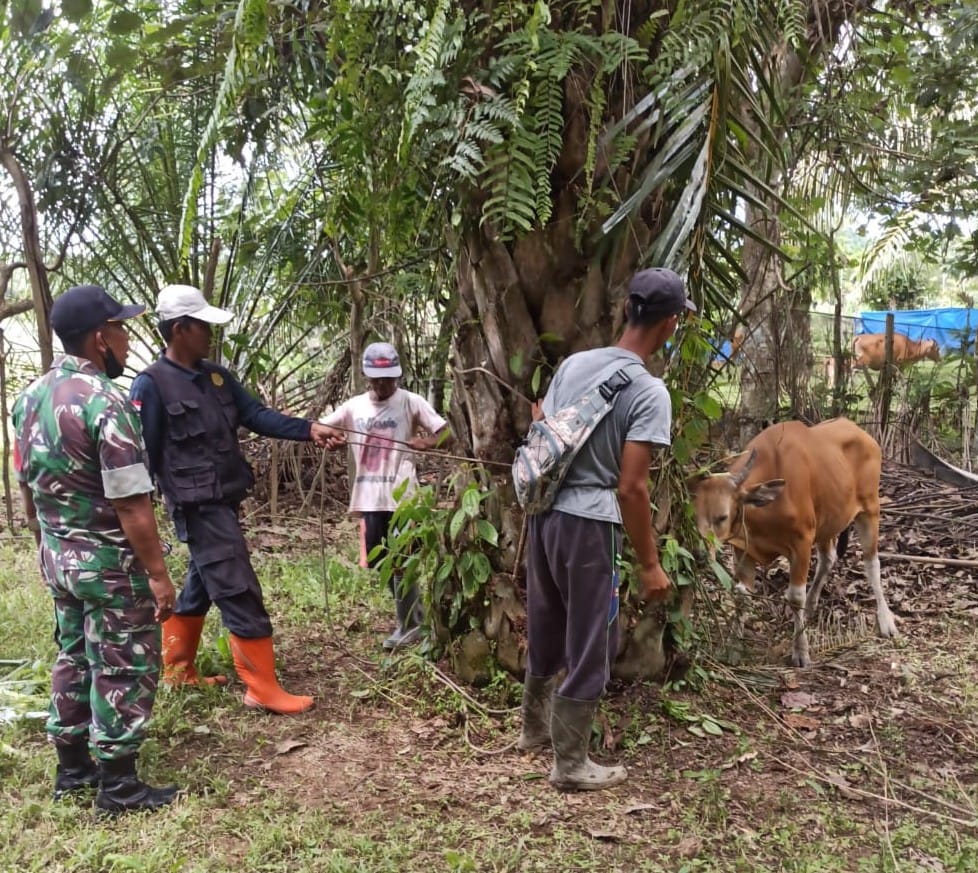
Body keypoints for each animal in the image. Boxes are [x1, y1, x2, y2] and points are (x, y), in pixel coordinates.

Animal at [688, 418, 892, 664]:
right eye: (693, 516)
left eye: (722, 517)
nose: (699, 554)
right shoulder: (743, 549)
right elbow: (741, 596)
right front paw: (733, 649)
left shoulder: (802, 543)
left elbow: (795, 597)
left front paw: (801, 651)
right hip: (827, 521)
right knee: (828, 558)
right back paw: (812, 607)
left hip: (870, 509)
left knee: (872, 564)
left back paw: (886, 621)